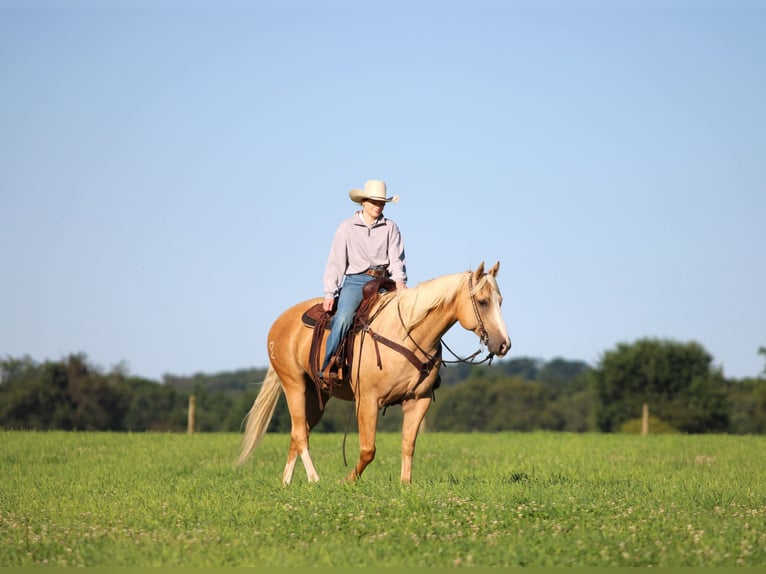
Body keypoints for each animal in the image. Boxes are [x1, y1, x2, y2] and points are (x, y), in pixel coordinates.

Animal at [237, 262, 511, 484]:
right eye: (483, 302)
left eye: (500, 301)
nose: (504, 345)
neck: (405, 334)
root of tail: (280, 321)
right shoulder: (367, 400)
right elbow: (368, 450)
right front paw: (347, 481)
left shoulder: (418, 401)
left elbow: (408, 444)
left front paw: (405, 485)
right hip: (294, 384)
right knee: (299, 433)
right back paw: (315, 479)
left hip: (316, 395)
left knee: (299, 432)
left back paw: (286, 483)